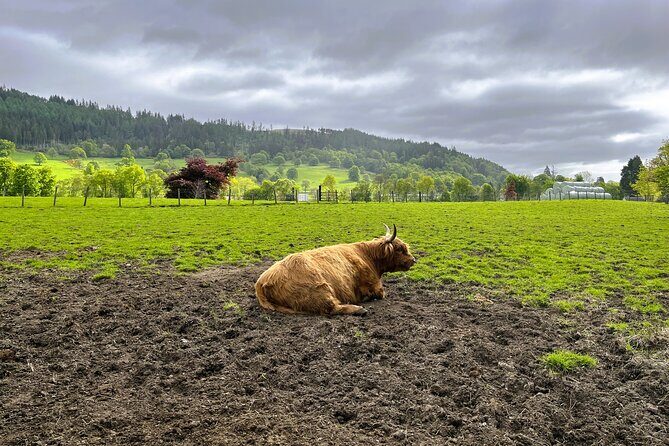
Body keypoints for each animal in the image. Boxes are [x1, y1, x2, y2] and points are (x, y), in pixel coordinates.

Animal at [255, 224, 417, 316]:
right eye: (400, 249)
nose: (413, 260)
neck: (367, 256)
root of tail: (261, 281)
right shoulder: (375, 285)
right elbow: (380, 294)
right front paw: (367, 298)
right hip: (319, 288)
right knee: (330, 308)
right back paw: (359, 309)